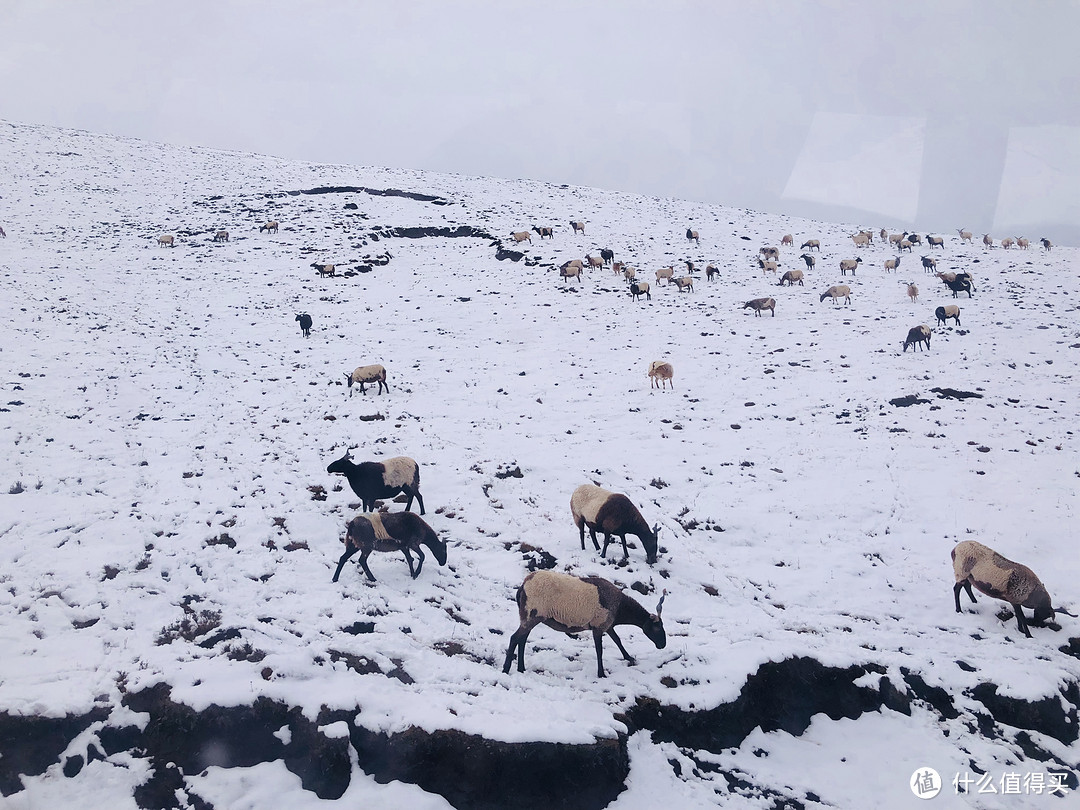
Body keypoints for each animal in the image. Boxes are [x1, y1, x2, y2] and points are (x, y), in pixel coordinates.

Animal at [498, 570, 665, 678]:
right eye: (657, 628)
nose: (662, 645)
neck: (620, 609)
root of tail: (522, 587)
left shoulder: (608, 625)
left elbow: (618, 640)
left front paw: (629, 657)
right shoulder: (598, 626)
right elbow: (600, 651)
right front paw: (601, 674)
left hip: (528, 616)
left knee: (522, 639)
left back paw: (521, 668)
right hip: (533, 613)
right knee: (515, 638)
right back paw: (506, 669)